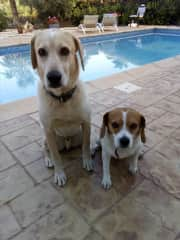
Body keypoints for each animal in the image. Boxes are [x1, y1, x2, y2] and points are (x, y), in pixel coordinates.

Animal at [30, 30, 93, 187]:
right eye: (41, 52)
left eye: (65, 50)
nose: (53, 77)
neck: (63, 98)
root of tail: (67, 142)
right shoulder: (48, 131)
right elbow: (56, 156)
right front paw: (59, 174)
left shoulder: (86, 124)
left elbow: (86, 146)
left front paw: (88, 160)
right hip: (46, 138)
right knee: (44, 149)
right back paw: (48, 160)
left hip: (79, 136)